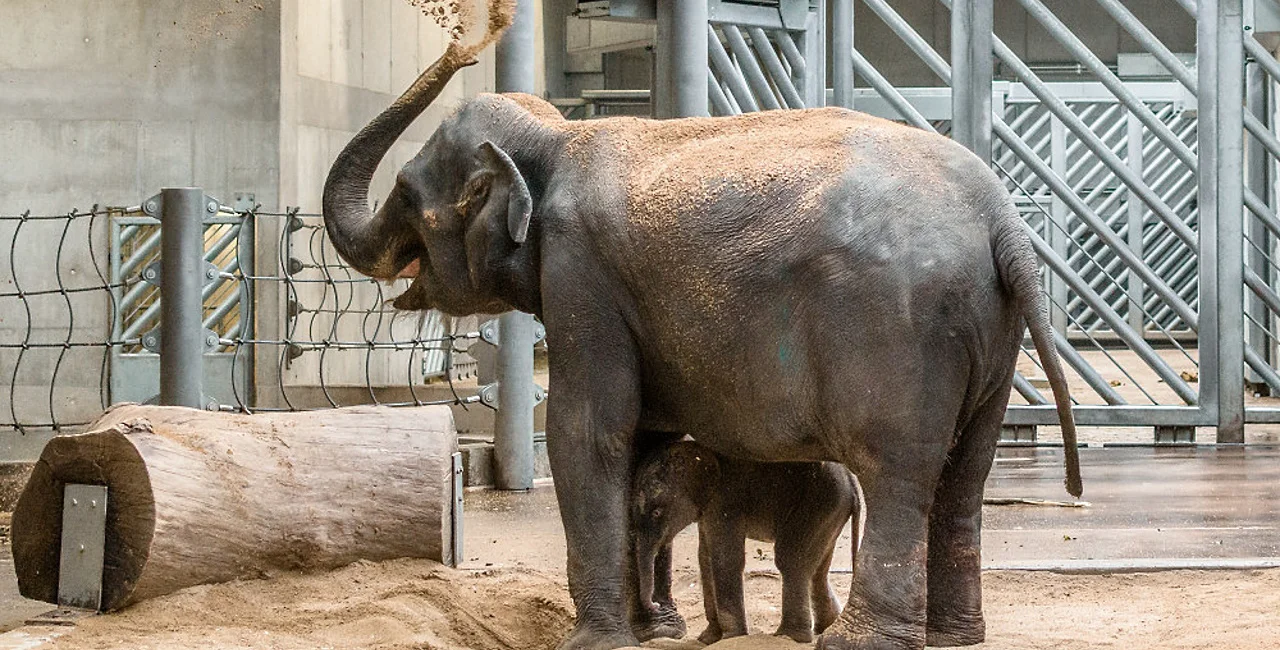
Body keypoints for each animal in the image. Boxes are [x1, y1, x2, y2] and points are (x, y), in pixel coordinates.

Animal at [629, 442, 860, 644]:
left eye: (657, 512)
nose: (656, 604)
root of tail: (853, 483)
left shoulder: (726, 500)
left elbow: (725, 558)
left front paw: (731, 638)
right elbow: (705, 558)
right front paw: (708, 639)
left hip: (818, 503)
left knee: (790, 561)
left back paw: (789, 637)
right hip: (831, 509)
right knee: (818, 571)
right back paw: (825, 628)